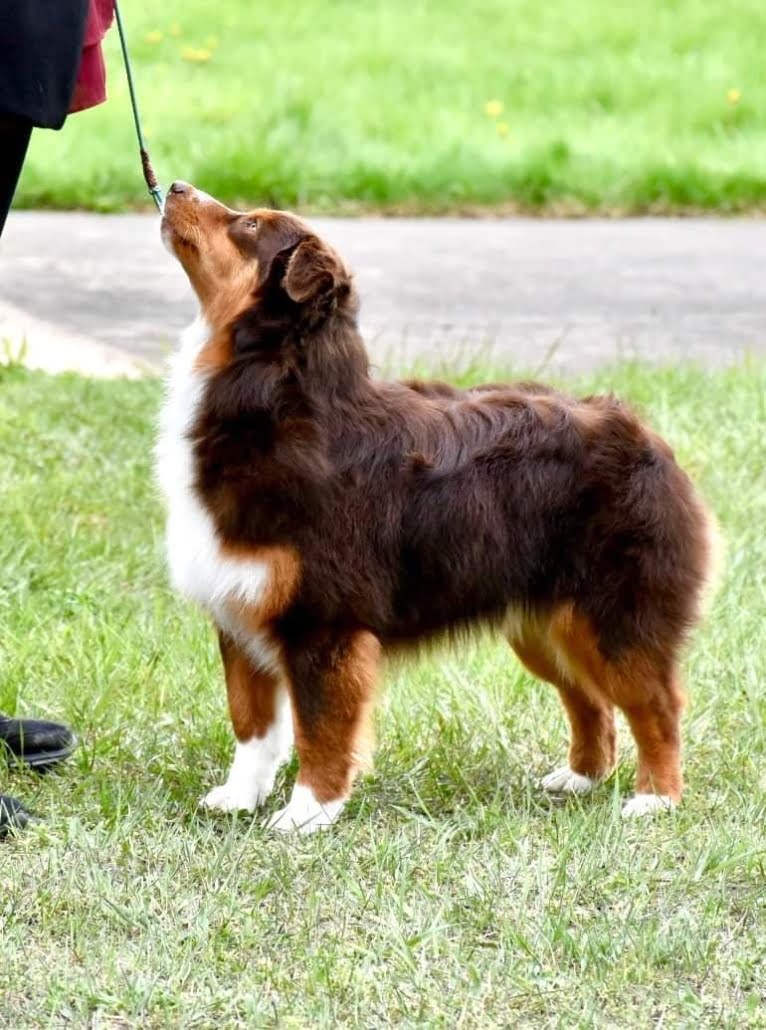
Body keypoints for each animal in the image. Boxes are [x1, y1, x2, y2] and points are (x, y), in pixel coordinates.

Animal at [157, 181, 716, 832]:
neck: (275, 390)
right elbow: (252, 724)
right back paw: (579, 778)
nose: (175, 186)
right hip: (545, 623)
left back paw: (656, 798)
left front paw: (307, 814)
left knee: (656, 703)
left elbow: (321, 729)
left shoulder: (325, 619)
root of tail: (649, 436)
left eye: (248, 225)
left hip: (617, 615)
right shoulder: (241, 608)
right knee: (590, 698)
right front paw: (239, 797)